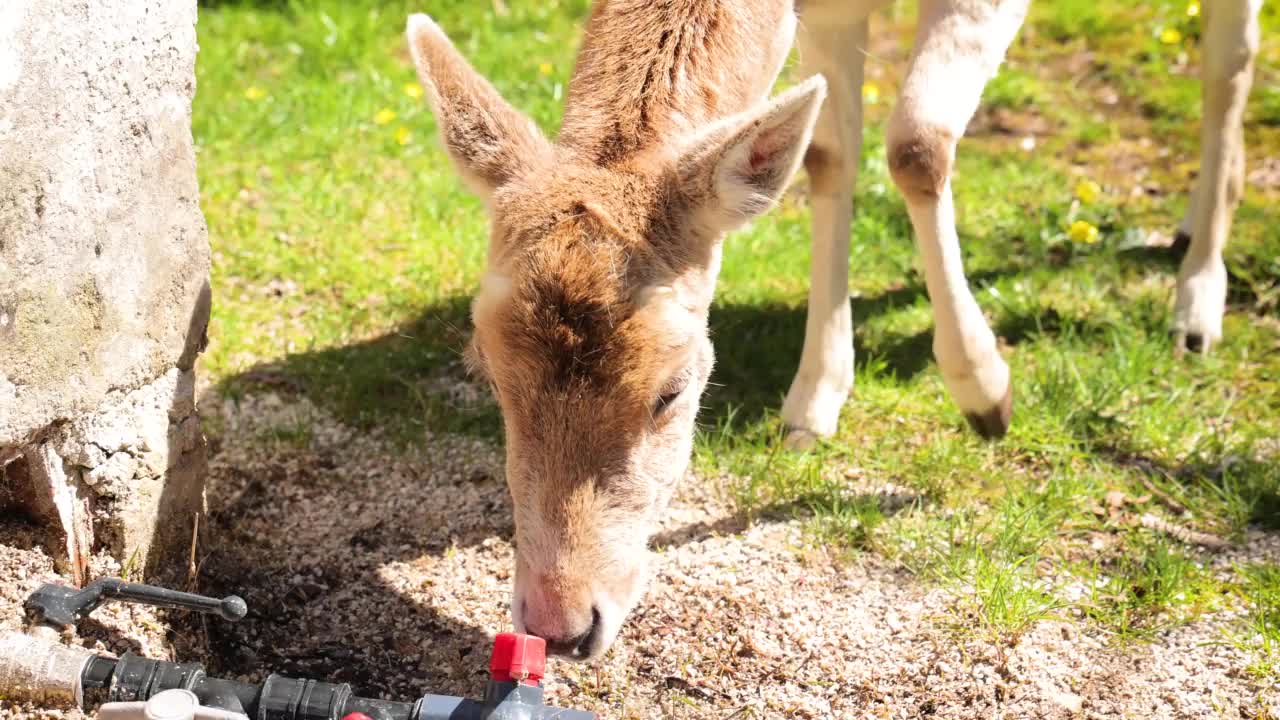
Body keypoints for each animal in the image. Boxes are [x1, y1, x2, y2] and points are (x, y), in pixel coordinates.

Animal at [407, 0, 1259, 661]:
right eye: (493, 377)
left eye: (672, 392)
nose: (559, 627)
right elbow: (826, 154)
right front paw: (813, 403)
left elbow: (916, 143)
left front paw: (987, 393)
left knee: (1232, 60)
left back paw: (1197, 303)